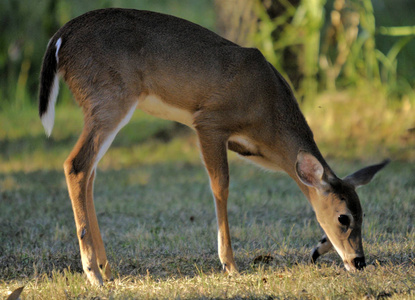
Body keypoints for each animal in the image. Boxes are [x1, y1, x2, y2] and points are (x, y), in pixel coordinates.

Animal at [39, 8, 390, 284]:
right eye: (344, 218)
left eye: (363, 214)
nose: (359, 261)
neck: (269, 120)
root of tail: (60, 37)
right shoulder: (209, 122)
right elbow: (221, 185)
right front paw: (229, 264)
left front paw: (318, 248)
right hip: (110, 97)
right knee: (76, 164)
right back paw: (93, 273)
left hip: (101, 104)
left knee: (90, 174)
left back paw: (106, 268)